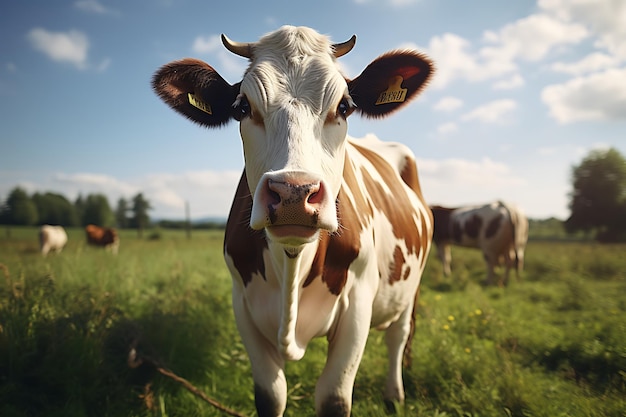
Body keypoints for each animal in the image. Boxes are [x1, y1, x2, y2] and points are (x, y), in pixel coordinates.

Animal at [152, 26, 434, 416]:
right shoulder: (243, 306)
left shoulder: (358, 305)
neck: (291, 263)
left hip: (412, 286)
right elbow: (271, 395)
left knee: (398, 335)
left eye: (344, 106)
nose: (294, 193)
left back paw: (394, 394)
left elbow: (333, 397)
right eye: (243, 107)